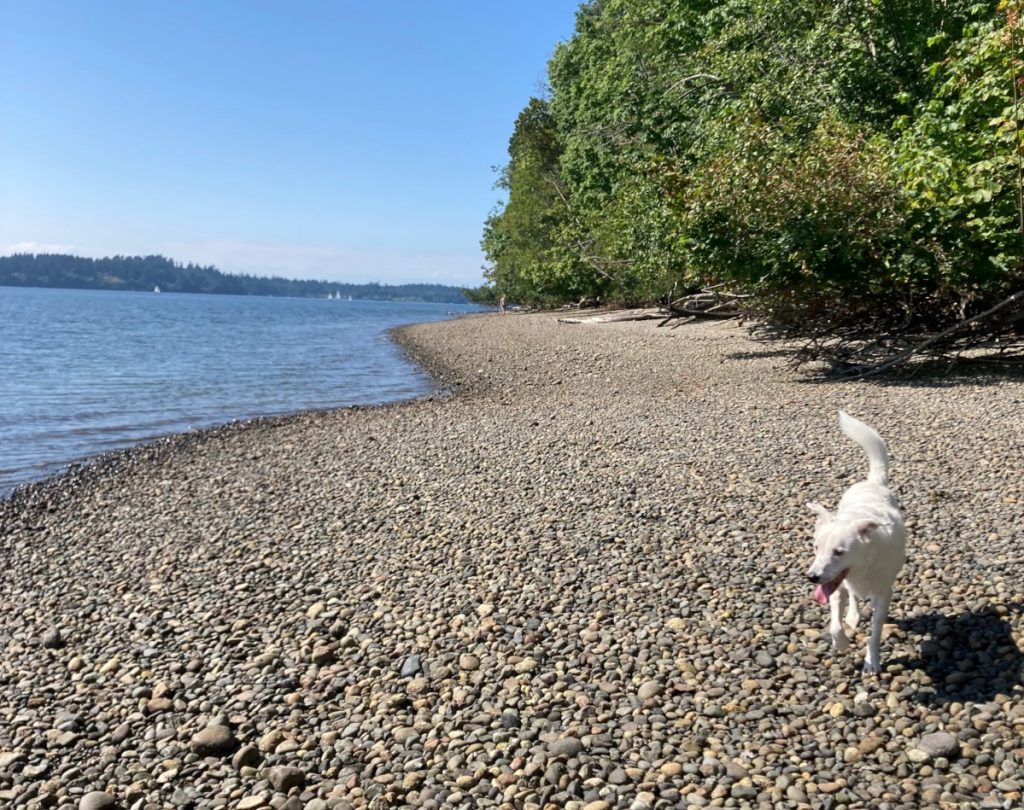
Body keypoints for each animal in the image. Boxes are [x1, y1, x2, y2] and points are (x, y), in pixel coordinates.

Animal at [802, 411, 909, 671]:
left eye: (839, 552)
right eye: (815, 547)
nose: (812, 577)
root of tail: (873, 482)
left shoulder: (883, 594)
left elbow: (876, 630)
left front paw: (872, 660)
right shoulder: (834, 586)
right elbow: (835, 621)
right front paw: (840, 643)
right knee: (852, 596)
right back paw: (852, 615)